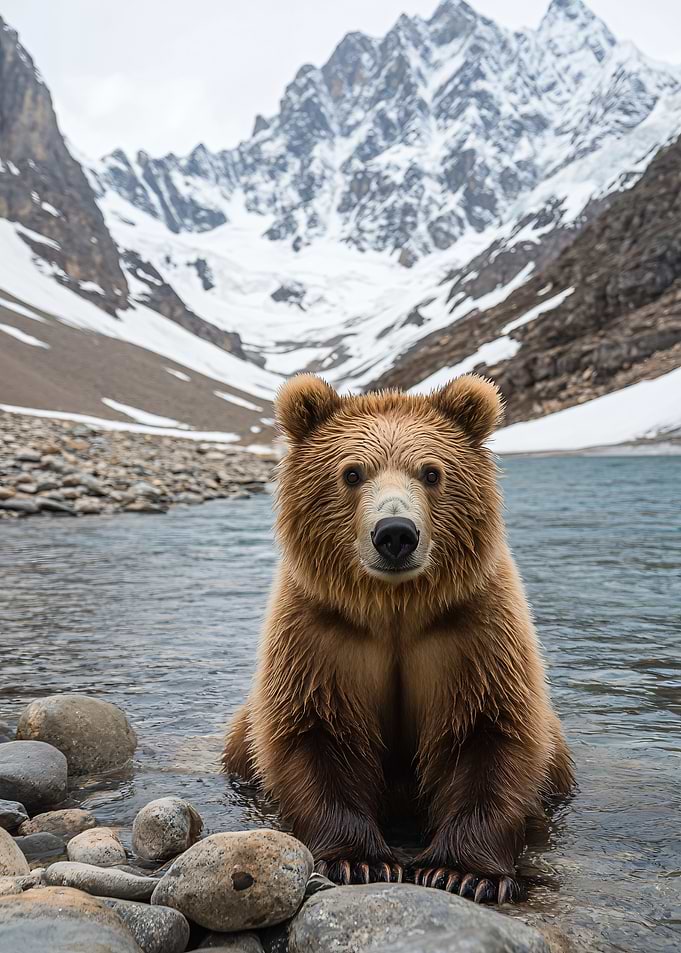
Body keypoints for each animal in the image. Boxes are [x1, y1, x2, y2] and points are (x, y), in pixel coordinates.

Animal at [223, 373, 574, 904]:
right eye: (351, 473)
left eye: (431, 472)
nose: (395, 534)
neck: (395, 609)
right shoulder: (320, 634)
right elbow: (315, 730)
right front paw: (358, 860)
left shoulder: (473, 632)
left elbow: (489, 730)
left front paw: (461, 872)